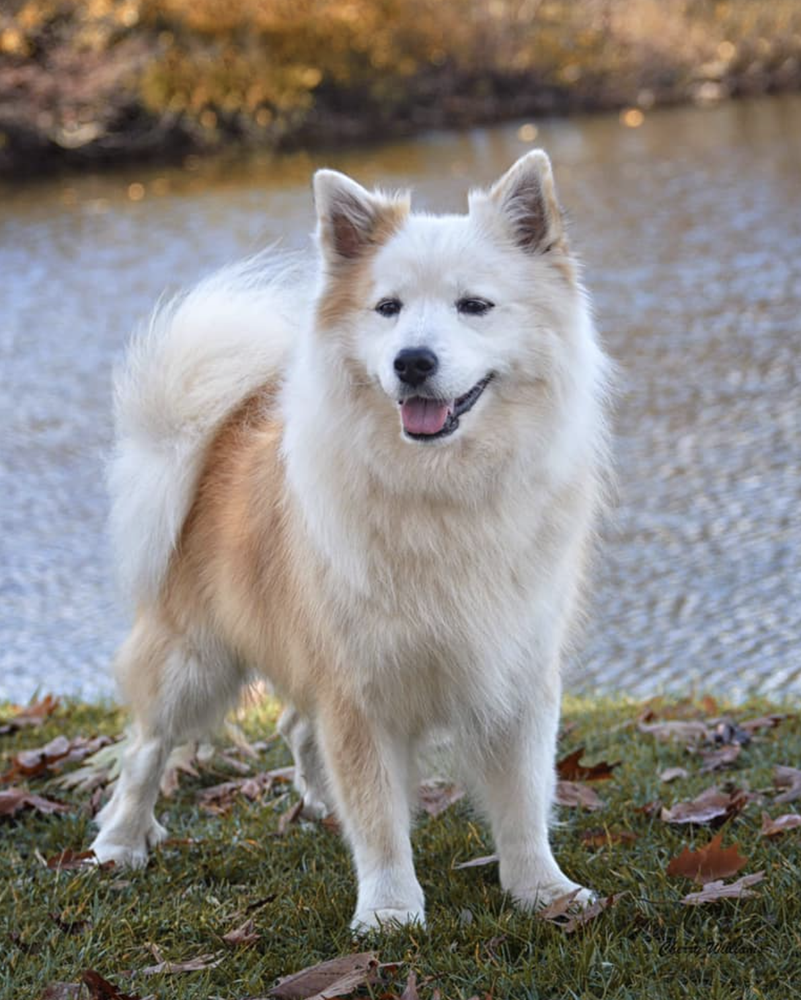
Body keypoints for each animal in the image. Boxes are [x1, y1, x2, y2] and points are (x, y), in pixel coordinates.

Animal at [90, 150, 608, 928]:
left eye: (474, 306)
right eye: (387, 308)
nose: (413, 361)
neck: (438, 491)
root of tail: (223, 428)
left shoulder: (515, 671)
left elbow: (522, 801)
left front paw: (542, 892)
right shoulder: (357, 689)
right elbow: (378, 814)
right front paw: (391, 911)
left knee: (297, 730)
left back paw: (314, 802)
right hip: (193, 662)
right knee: (147, 748)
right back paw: (120, 842)